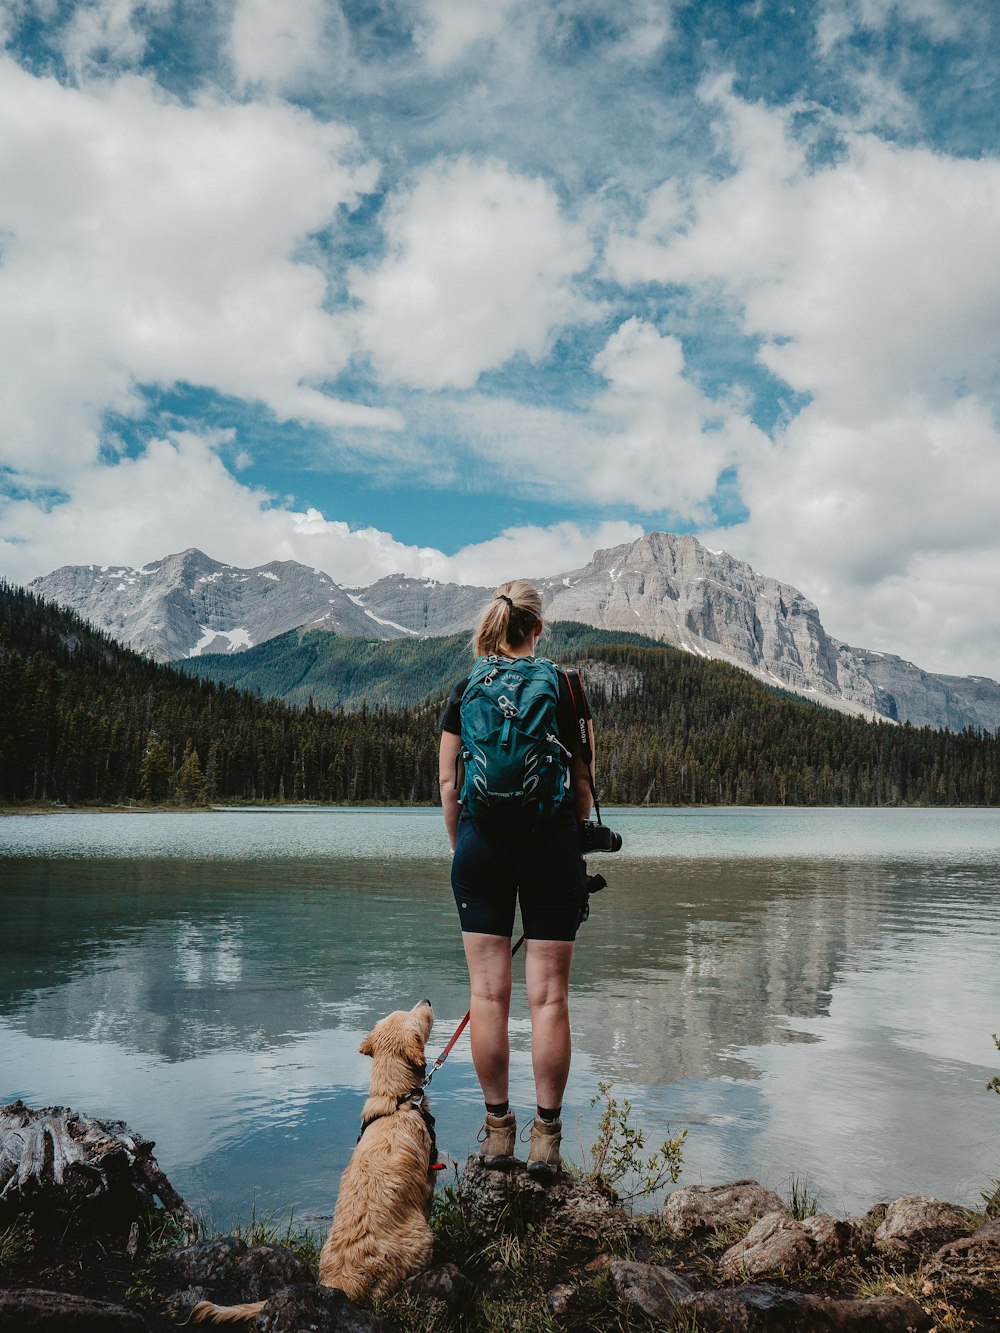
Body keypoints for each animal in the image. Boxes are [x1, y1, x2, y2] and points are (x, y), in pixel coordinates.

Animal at [189, 1002, 437, 1322]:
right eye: (415, 1017)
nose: (426, 1000)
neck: (395, 1100)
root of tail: (341, 1282)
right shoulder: (428, 1177)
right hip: (422, 1239)